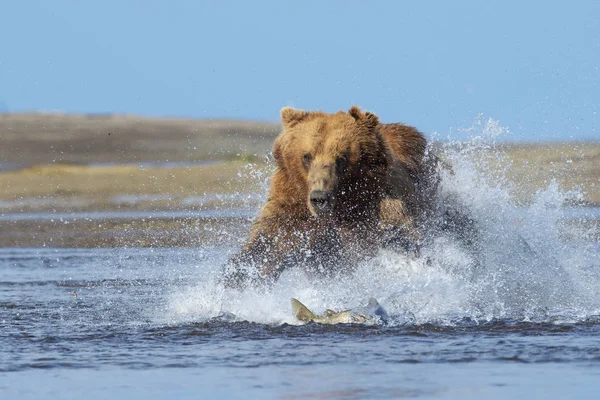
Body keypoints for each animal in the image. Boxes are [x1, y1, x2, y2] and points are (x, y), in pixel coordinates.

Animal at [223, 106, 438, 288]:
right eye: (307, 156)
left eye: (341, 158)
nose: (319, 198)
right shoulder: (292, 206)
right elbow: (267, 245)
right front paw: (236, 278)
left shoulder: (376, 205)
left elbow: (395, 238)